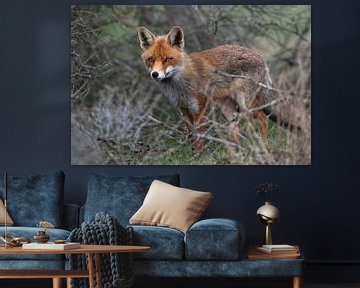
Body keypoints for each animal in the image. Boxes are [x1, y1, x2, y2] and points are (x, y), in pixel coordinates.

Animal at [138, 25, 272, 150]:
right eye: (151, 59)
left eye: (167, 59)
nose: (155, 74)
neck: (179, 85)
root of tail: (260, 56)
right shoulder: (183, 108)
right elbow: (191, 134)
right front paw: (194, 153)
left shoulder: (199, 106)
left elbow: (199, 135)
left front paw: (200, 153)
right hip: (228, 109)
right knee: (237, 128)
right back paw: (238, 150)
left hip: (245, 105)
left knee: (263, 118)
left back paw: (263, 145)